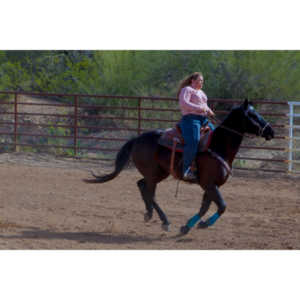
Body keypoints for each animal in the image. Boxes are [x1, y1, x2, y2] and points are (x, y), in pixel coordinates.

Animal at [84, 99, 274, 236]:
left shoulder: (211, 186)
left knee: (141, 185)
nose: (271, 131)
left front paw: (187, 226)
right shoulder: (209, 184)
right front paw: (203, 224)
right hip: (153, 174)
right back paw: (164, 221)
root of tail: (137, 139)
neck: (218, 146)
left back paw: (149, 214)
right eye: (252, 115)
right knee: (149, 192)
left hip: (159, 173)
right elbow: (222, 206)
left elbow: (205, 207)